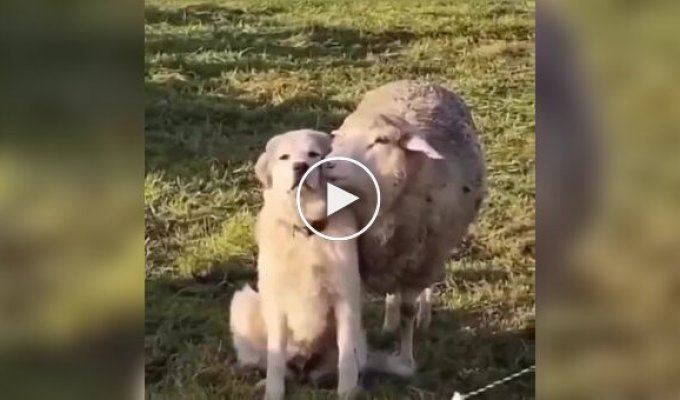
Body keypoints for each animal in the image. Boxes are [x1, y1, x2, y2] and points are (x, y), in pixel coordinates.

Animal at [323, 80, 486, 372]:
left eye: (382, 140)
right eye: (340, 137)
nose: (326, 165)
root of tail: (422, 81)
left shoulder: (420, 263)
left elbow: (407, 313)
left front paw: (406, 359)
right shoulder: (364, 259)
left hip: (433, 253)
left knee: (425, 288)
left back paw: (424, 316)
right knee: (392, 292)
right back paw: (388, 321)